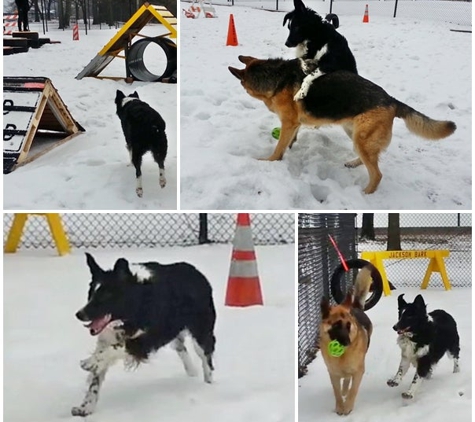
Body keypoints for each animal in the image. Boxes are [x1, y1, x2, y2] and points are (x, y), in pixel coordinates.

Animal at [71, 252, 217, 418]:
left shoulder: (145, 341)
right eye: (91, 293)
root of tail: (196, 271)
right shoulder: (108, 338)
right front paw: (86, 407)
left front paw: (88, 362)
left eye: (106, 296)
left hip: (200, 332)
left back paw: (208, 383)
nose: (79, 314)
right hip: (172, 332)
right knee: (182, 348)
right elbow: (96, 378)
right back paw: (191, 372)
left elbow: (117, 348)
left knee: (206, 357)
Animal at [231, 55, 458, 194]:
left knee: (377, 173)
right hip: (354, 133)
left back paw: (366, 193)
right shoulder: (294, 124)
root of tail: (391, 100)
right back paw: (354, 163)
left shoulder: (288, 123)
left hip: (361, 138)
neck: (277, 78)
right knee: (370, 160)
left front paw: (269, 161)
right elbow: (289, 141)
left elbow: (278, 148)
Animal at [322, 266, 374, 418]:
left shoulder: (358, 372)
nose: (347, 343)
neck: (342, 356)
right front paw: (340, 406)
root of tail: (354, 306)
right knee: (345, 381)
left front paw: (348, 407)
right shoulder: (333, 374)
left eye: (348, 325)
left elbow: (353, 390)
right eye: (336, 325)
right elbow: (337, 392)